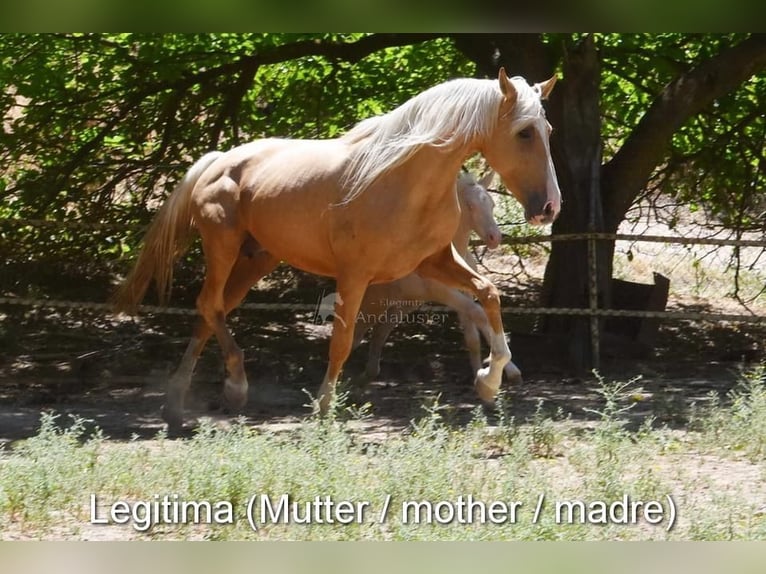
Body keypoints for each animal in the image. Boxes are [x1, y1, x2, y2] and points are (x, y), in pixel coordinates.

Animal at [352, 168, 524, 384]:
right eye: (470, 205)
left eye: (492, 204)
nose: (495, 238)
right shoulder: (443, 292)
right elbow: (479, 315)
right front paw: (498, 373)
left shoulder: (467, 293)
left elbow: (473, 335)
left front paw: (480, 372)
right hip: (376, 300)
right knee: (357, 329)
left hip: (405, 303)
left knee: (380, 330)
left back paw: (371, 371)